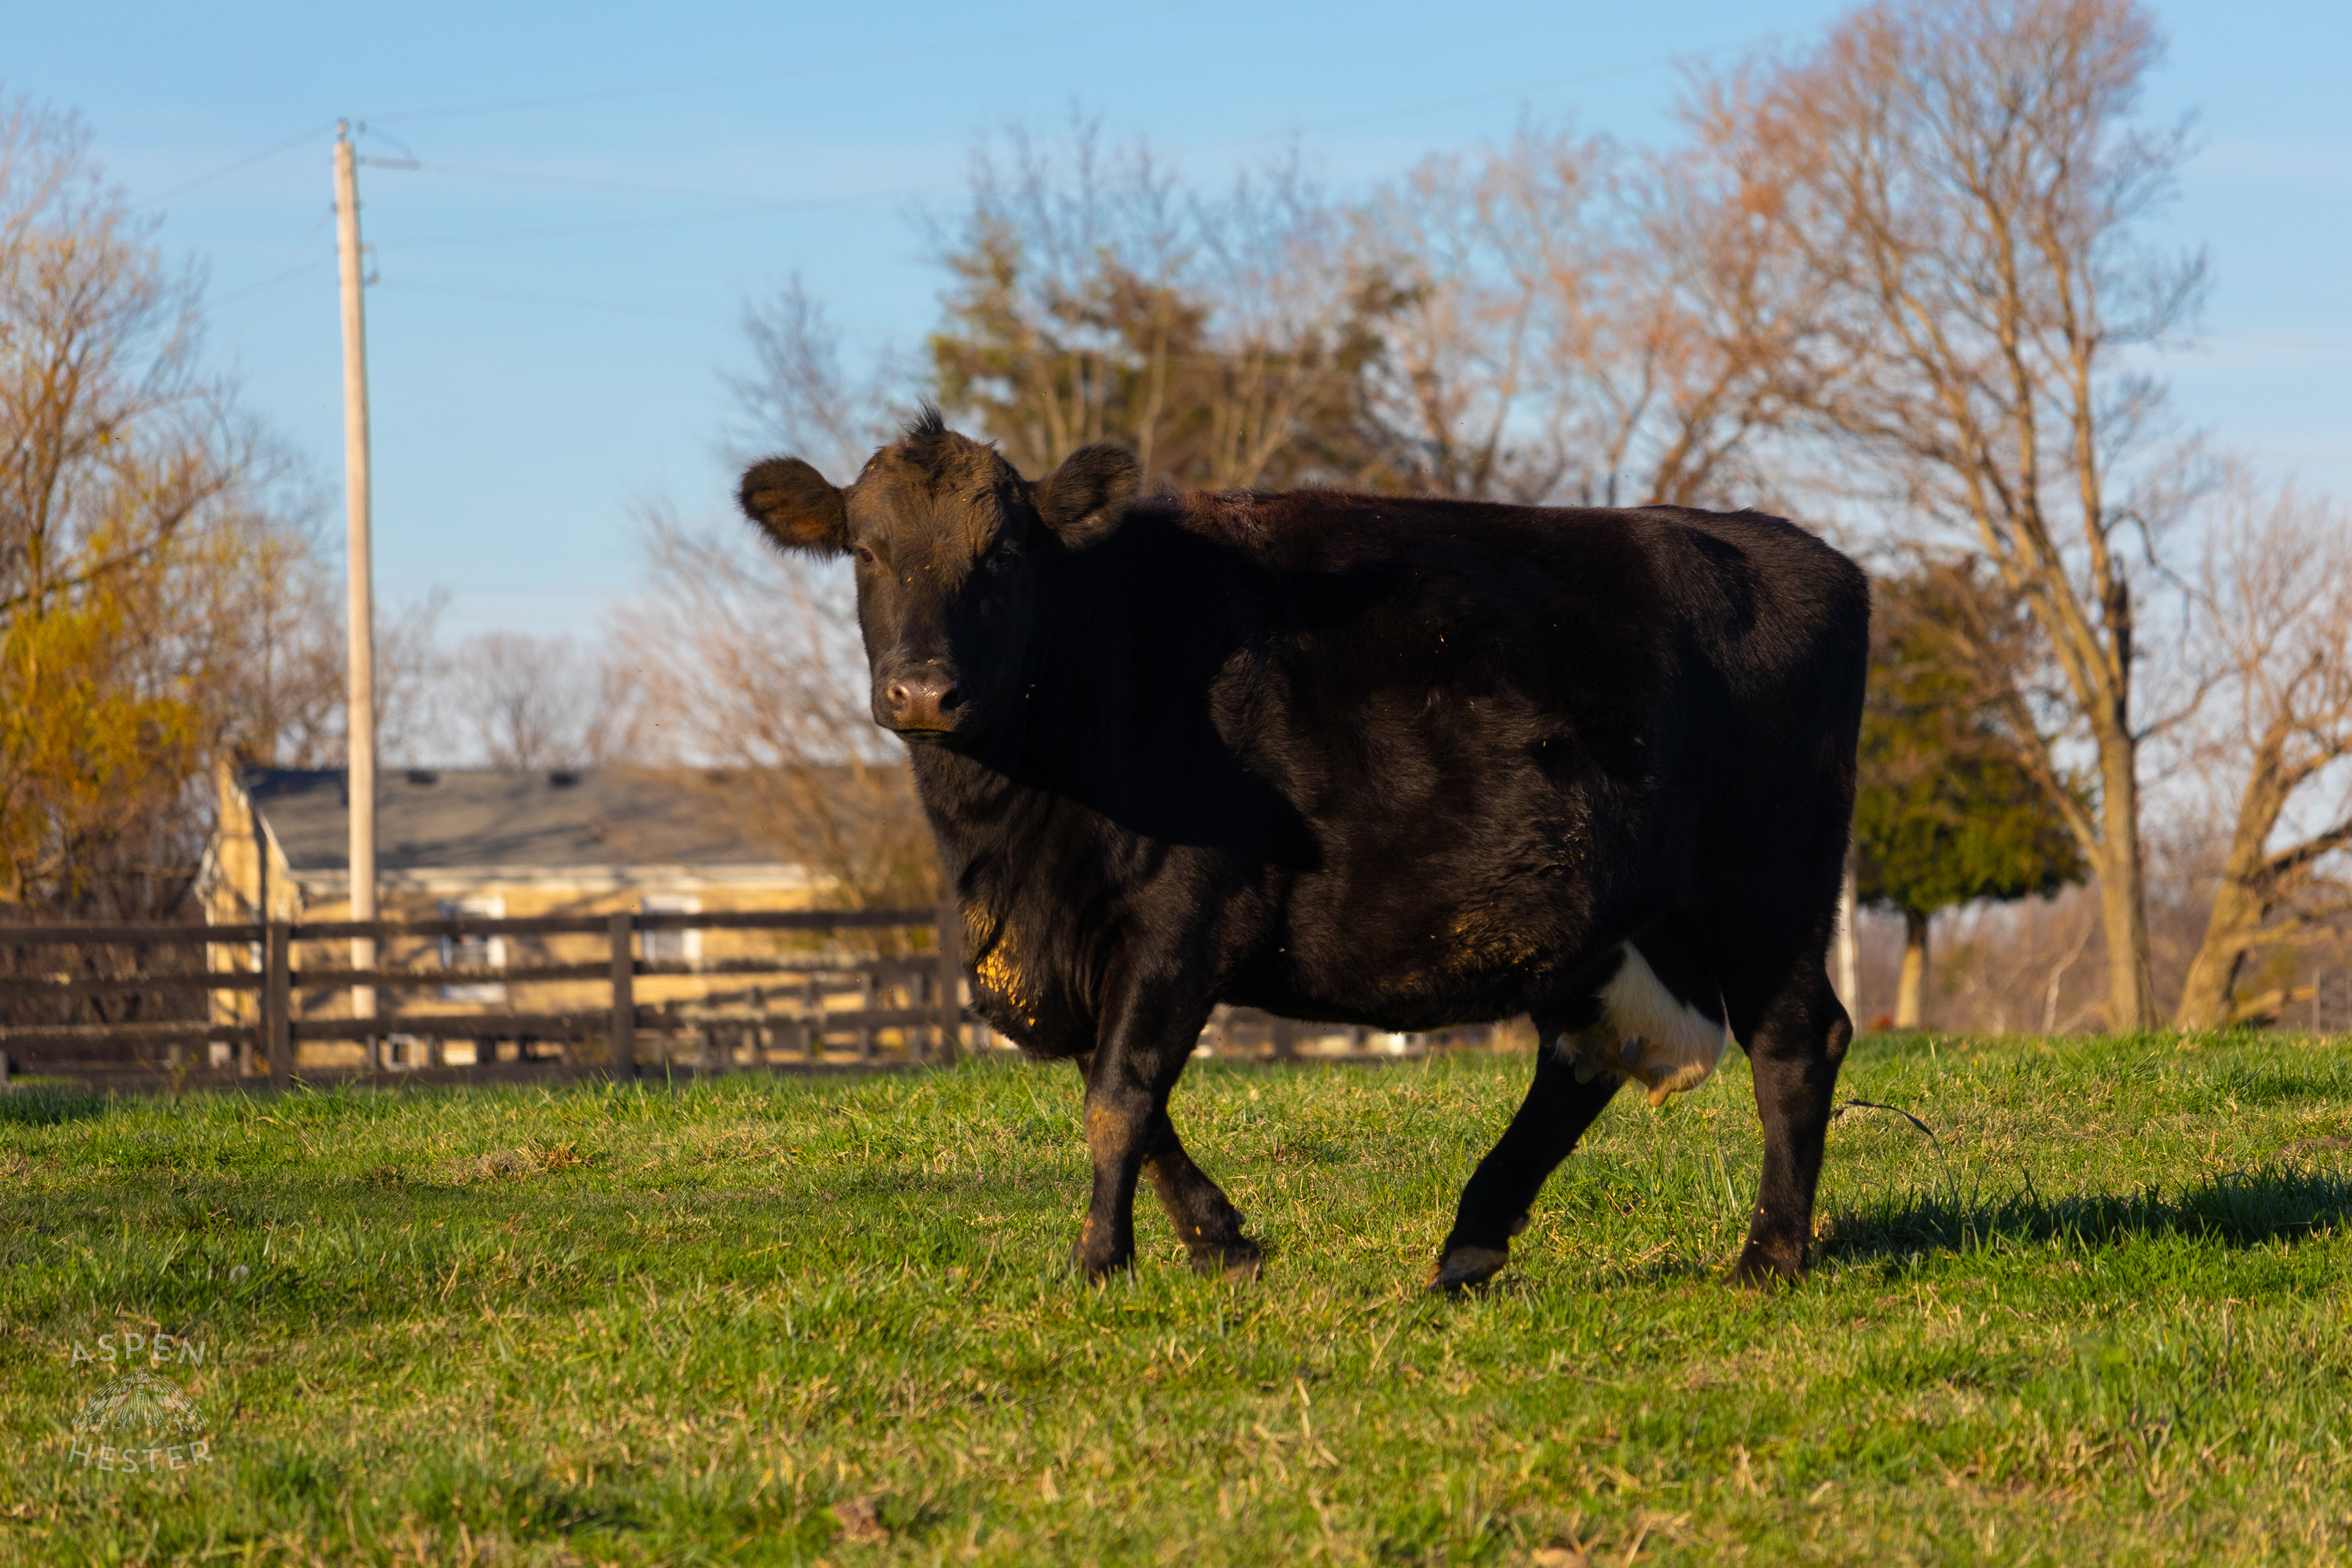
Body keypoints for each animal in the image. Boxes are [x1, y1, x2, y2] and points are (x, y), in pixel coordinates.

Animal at [738, 409, 1868, 1290]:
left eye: (1002, 555)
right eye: (867, 551)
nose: (925, 692)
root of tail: (1797, 548)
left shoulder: (1186, 915)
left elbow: (1120, 1094)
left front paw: (1100, 1262)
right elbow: (1126, 1095)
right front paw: (1220, 1241)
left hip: (1769, 882)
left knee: (1797, 1042)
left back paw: (1768, 1259)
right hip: (1621, 917)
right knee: (1586, 1056)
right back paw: (1470, 1249)